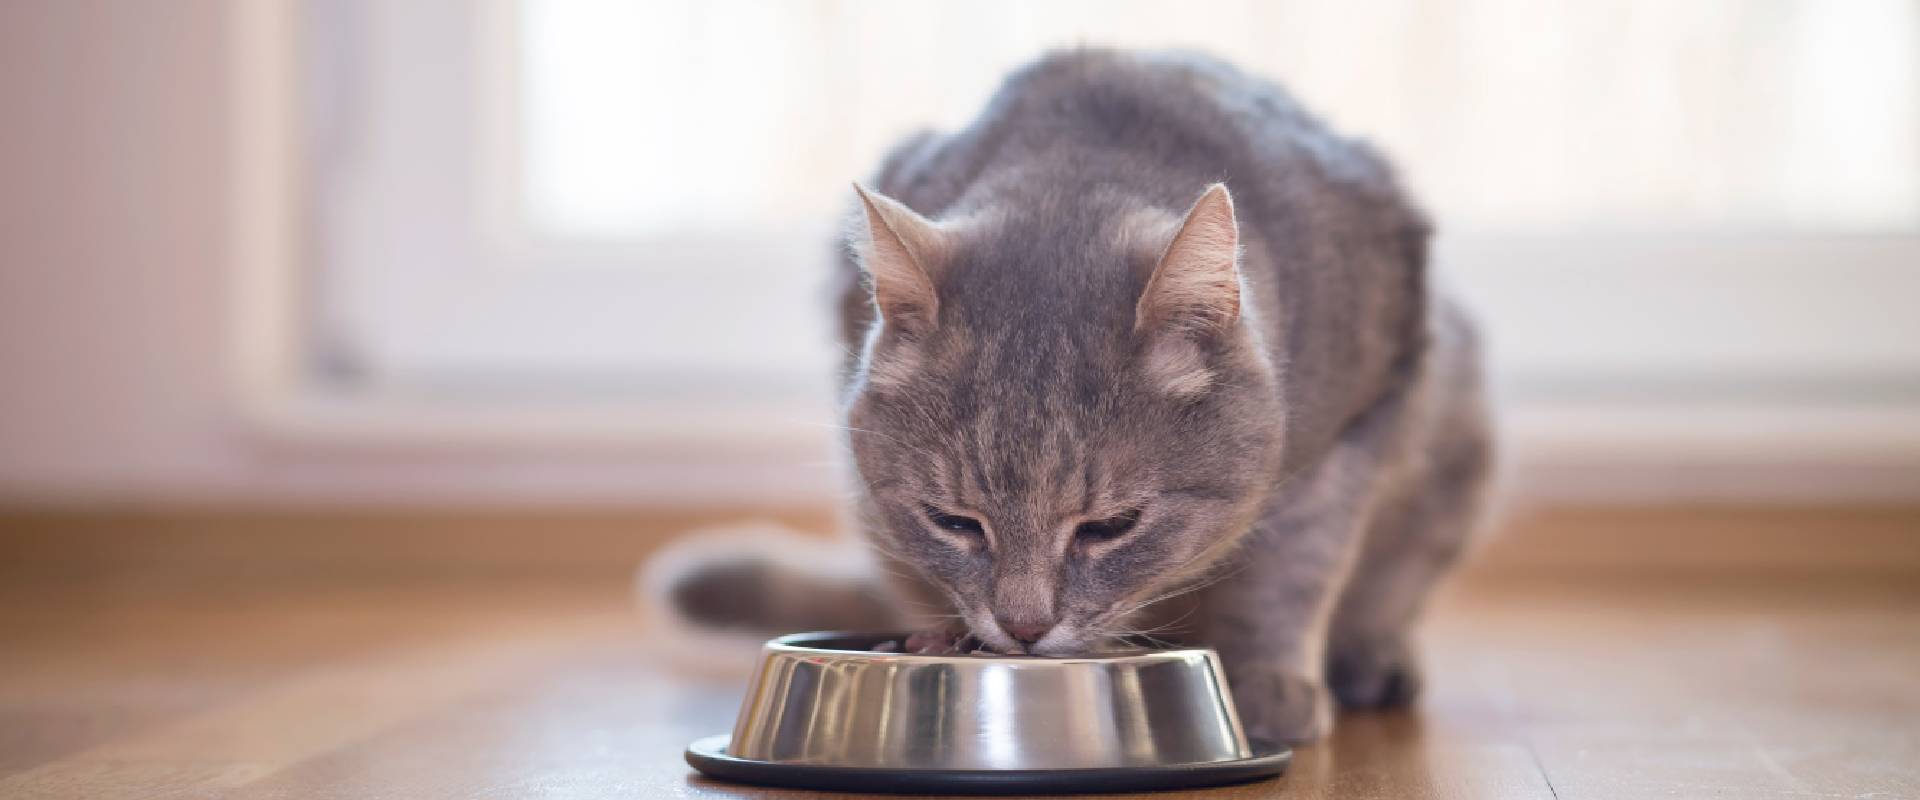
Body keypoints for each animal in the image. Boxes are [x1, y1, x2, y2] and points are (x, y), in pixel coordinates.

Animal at [660, 46, 1497, 740]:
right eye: (953, 522)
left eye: (1111, 526)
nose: (1024, 628)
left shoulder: (1361, 417)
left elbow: (1297, 563)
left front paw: (1266, 681)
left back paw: (1371, 660)